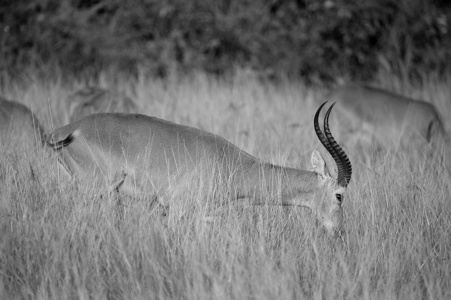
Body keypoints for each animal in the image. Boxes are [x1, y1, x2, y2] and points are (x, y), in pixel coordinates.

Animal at [47, 102, 354, 236]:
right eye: (339, 195)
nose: (339, 231)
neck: (234, 165)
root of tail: (68, 129)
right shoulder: (177, 210)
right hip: (98, 191)